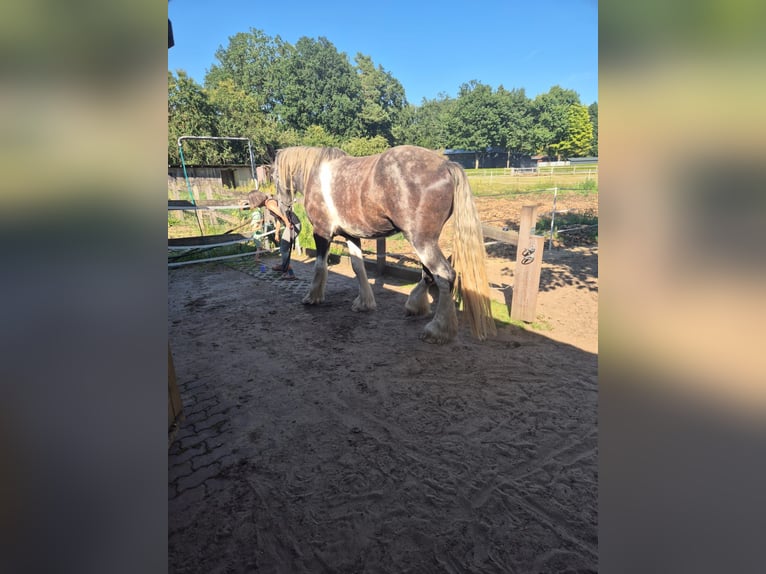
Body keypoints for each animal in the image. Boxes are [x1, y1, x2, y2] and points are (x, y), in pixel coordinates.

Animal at [273, 145, 496, 344]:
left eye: (274, 177)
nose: (284, 212)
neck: (316, 174)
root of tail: (446, 165)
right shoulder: (351, 235)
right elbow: (358, 267)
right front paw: (364, 303)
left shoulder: (322, 233)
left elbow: (320, 266)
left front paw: (312, 297)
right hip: (428, 239)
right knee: (429, 274)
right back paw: (415, 306)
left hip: (420, 239)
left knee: (444, 275)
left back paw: (437, 330)